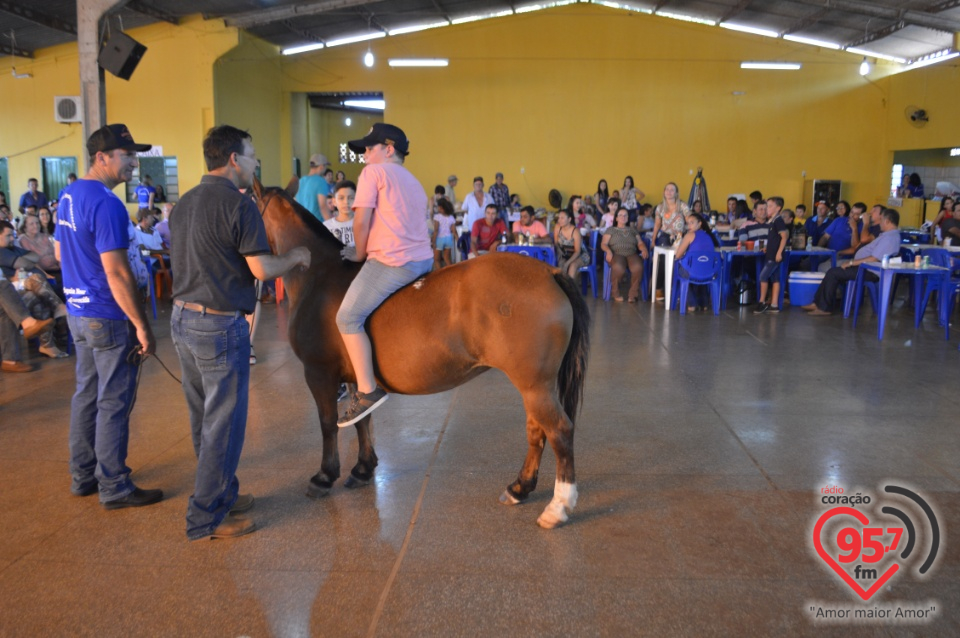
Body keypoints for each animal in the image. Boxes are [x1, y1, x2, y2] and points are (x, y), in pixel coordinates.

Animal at [251, 181, 588, 528]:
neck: (319, 276)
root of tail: (549, 272)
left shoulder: (319, 373)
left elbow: (328, 422)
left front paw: (324, 476)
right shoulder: (355, 379)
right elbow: (361, 419)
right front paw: (363, 468)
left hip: (535, 385)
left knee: (559, 431)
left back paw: (558, 506)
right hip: (534, 385)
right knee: (537, 430)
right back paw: (519, 488)